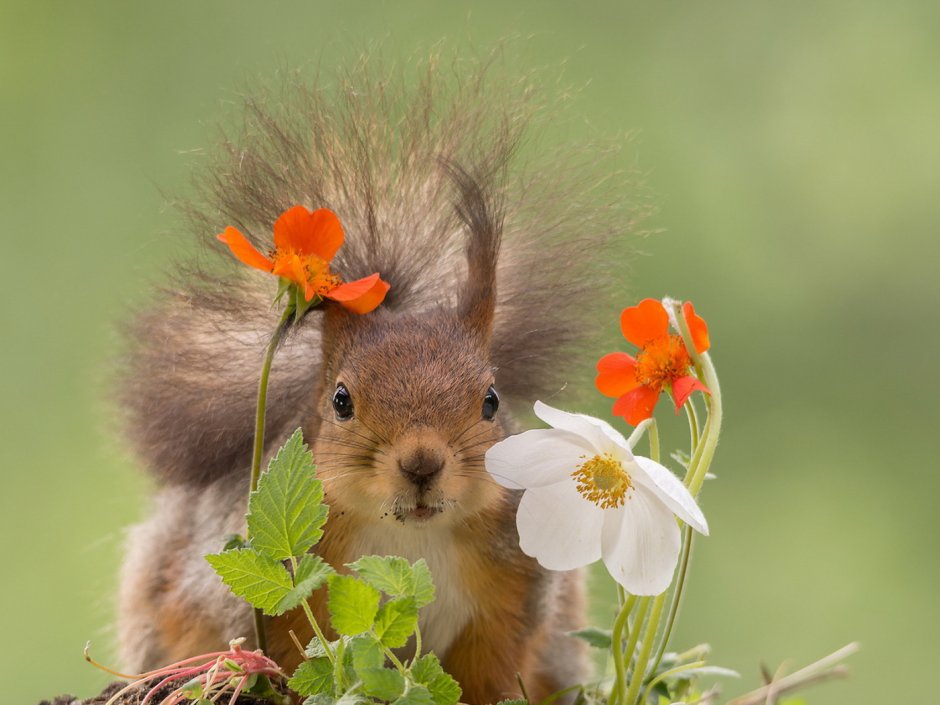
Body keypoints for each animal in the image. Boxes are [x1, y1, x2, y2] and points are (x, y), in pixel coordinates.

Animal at [114, 60, 636, 704]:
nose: (421, 464)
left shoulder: (511, 601)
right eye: (341, 400)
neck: (407, 538)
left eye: (491, 401)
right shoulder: (277, 603)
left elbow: (489, 675)